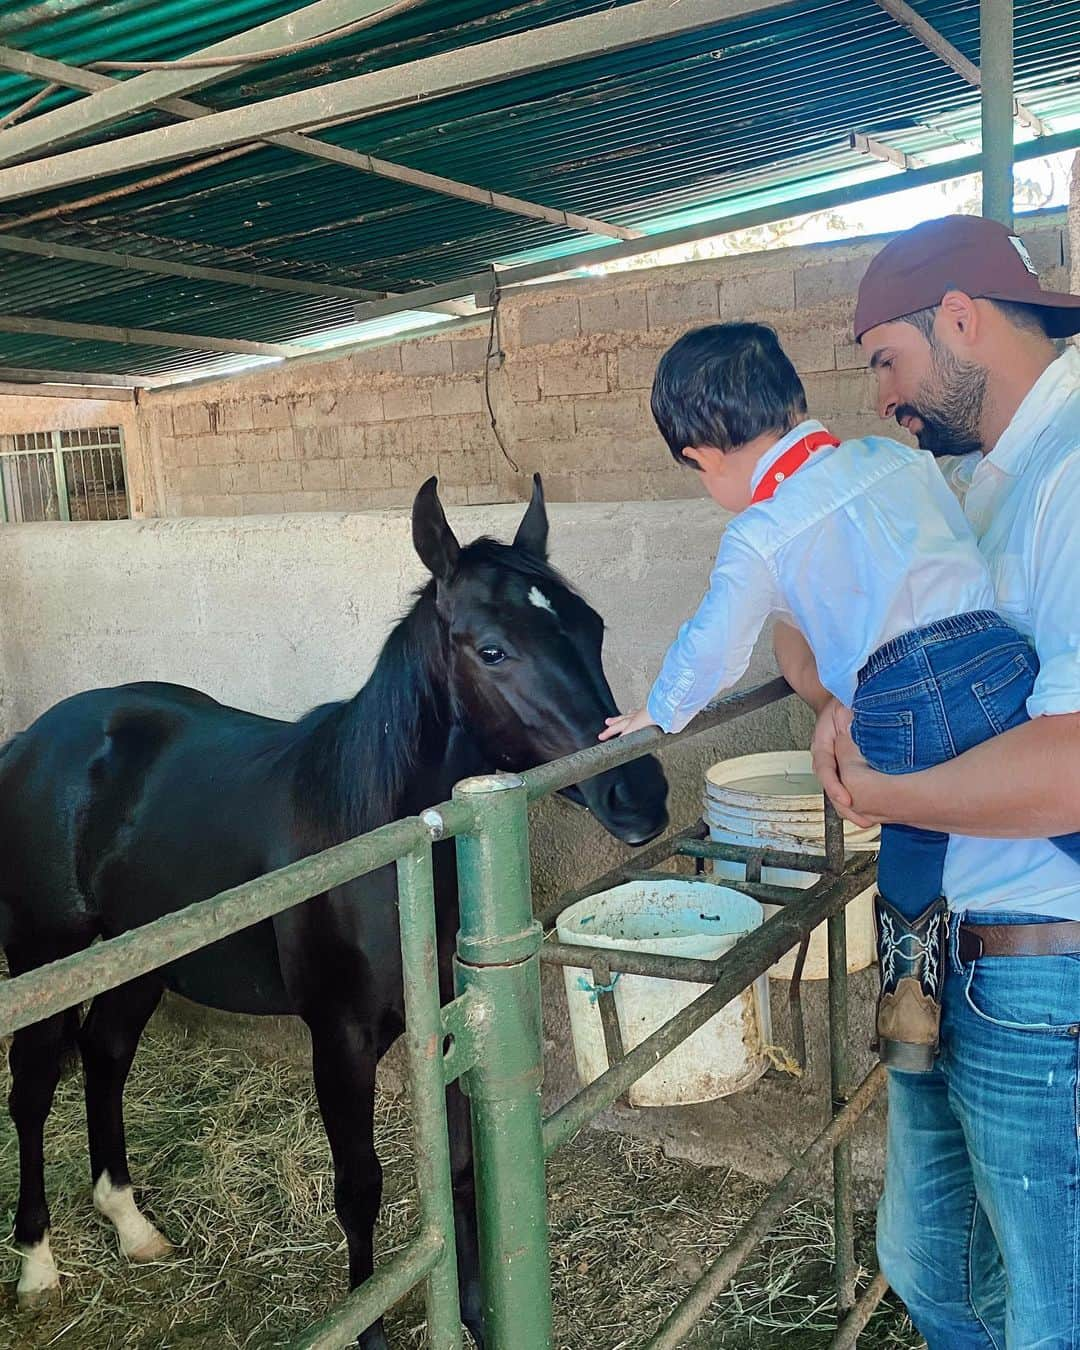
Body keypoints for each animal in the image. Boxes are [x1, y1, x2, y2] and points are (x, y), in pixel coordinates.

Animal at [0, 475, 666, 1339]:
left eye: (592, 628)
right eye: (492, 649)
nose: (640, 795)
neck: (380, 842)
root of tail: (32, 743)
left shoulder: (454, 1026)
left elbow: (459, 1169)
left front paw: (477, 1315)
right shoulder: (340, 1041)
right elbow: (360, 1188)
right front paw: (369, 1327)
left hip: (138, 962)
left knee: (106, 1057)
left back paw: (132, 1225)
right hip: (46, 958)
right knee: (34, 1087)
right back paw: (38, 1265)